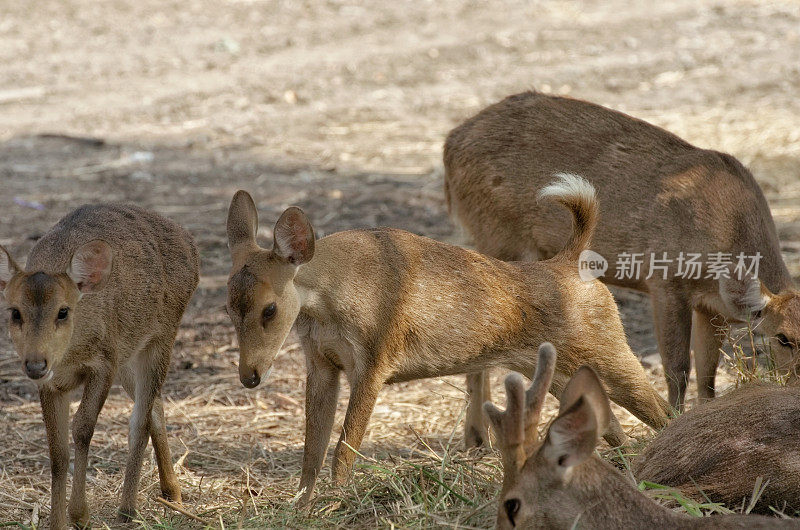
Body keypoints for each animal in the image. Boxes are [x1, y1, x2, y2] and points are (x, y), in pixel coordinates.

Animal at [0, 204, 200, 524]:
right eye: (15, 312)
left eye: (63, 311)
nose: (35, 364)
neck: (69, 357)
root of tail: (190, 243)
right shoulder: (51, 384)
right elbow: (57, 453)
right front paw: (57, 522)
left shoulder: (104, 363)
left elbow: (83, 428)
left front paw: (80, 514)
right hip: (129, 356)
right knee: (156, 406)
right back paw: (172, 492)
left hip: (160, 338)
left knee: (141, 418)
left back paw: (128, 509)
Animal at [222, 174, 672, 504]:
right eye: (229, 307)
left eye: (269, 309)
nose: (249, 376)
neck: (331, 296)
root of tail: (570, 260)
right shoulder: (321, 363)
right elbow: (311, 449)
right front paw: (302, 505)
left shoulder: (374, 360)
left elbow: (344, 447)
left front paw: (337, 499)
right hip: (560, 373)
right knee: (613, 424)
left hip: (609, 350)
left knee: (663, 408)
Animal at [444, 93, 800, 410]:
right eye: (782, 338)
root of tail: (450, 144)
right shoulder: (665, 280)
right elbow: (678, 369)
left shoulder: (713, 308)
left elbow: (707, 375)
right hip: (498, 236)